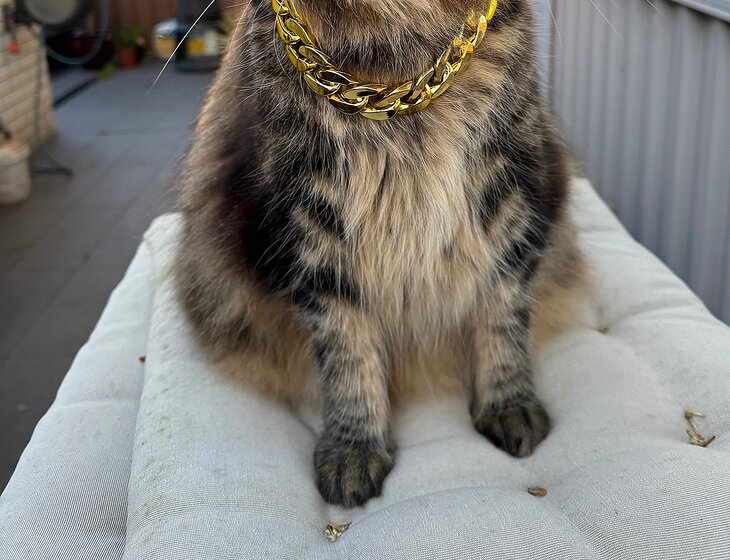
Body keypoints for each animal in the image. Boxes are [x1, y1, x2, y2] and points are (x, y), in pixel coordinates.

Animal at [175, 0, 589, 507]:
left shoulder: (514, 197)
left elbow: (504, 315)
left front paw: (509, 403)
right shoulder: (308, 229)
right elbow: (347, 350)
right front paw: (354, 448)